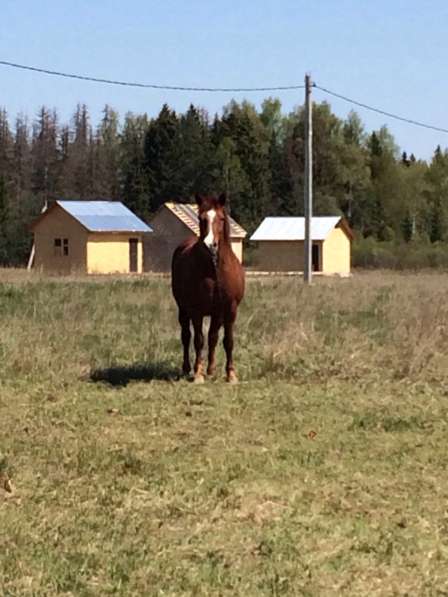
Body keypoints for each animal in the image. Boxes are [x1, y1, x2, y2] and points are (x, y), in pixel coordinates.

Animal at [172, 193, 245, 384]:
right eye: (201, 218)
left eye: (221, 218)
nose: (209, 244)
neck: (214, 270)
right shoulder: (196, 310)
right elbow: (198, 340)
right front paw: (198, 373)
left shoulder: (229, 309)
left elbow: (227, 340)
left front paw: (231, 374)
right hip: (183, 309)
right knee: (186, 336)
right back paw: (188, 368)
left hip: (216, 313)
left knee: (213, 337)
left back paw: (211, 369)